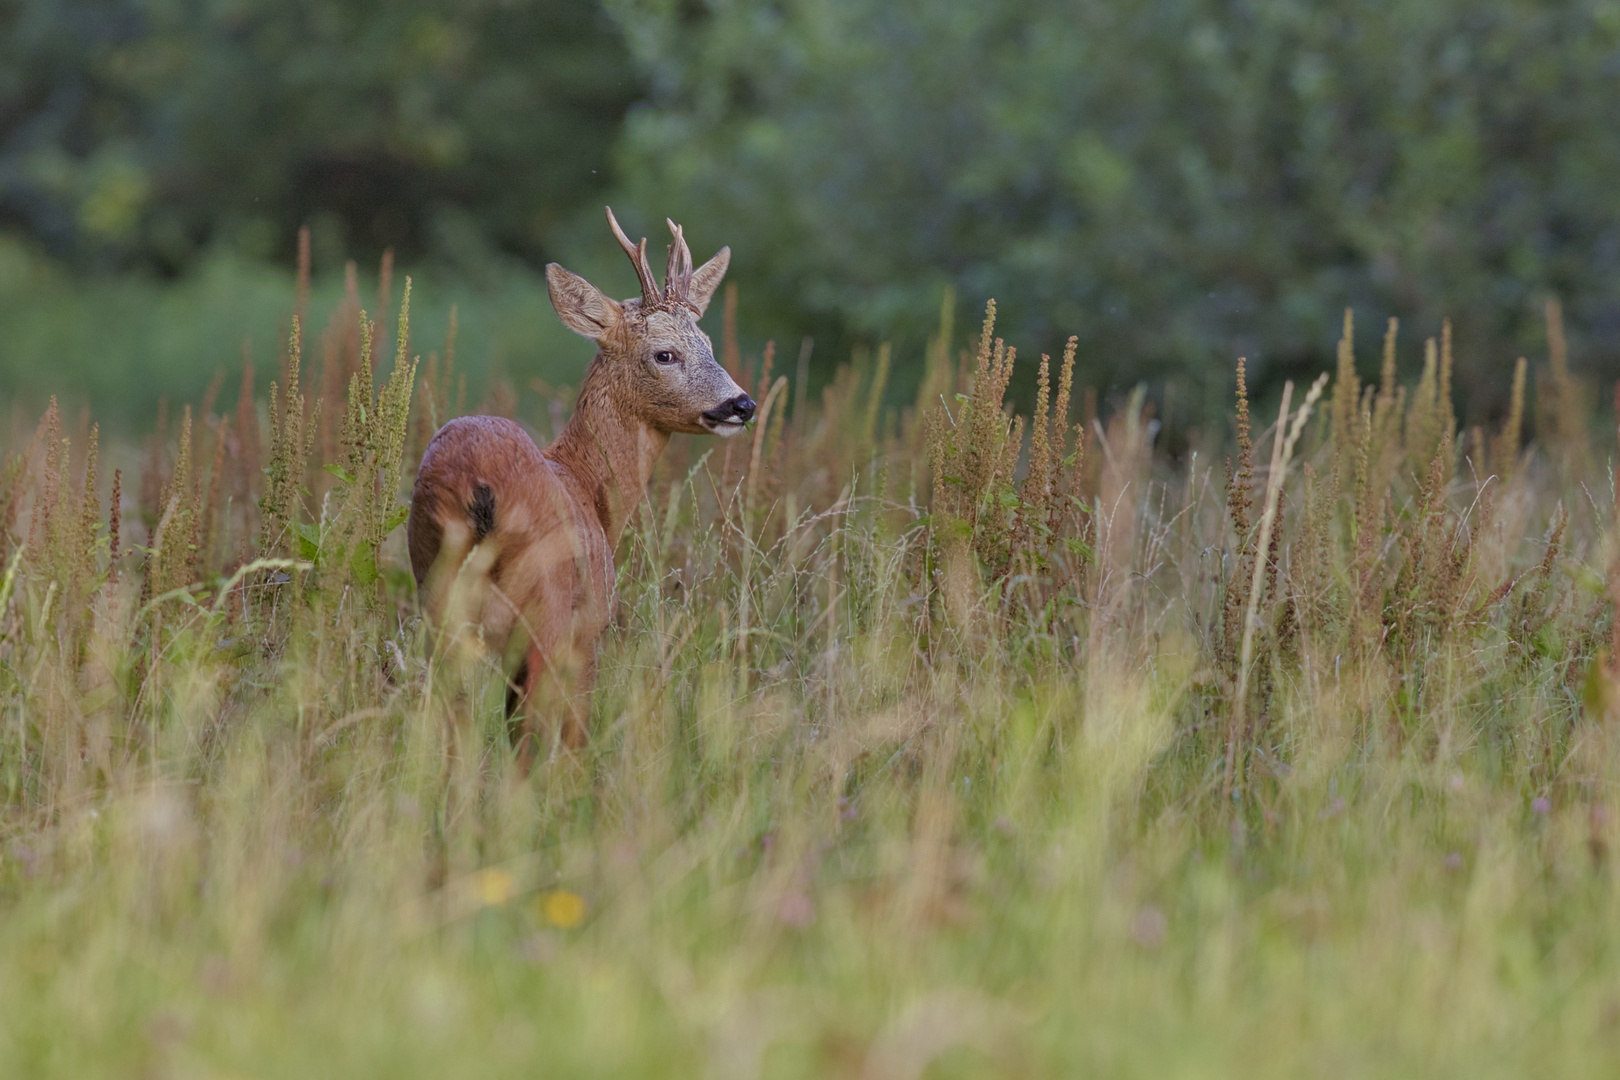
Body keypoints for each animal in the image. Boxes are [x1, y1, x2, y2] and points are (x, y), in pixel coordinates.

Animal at [411, 207, 751, 764]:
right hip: (545, 609)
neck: (589, 488)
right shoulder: (588, 629)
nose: (742, 404)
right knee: (531, 736)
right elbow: (573, 731)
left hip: (440, 601)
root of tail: (477, 486)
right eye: (665, 354)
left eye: (708, 345)